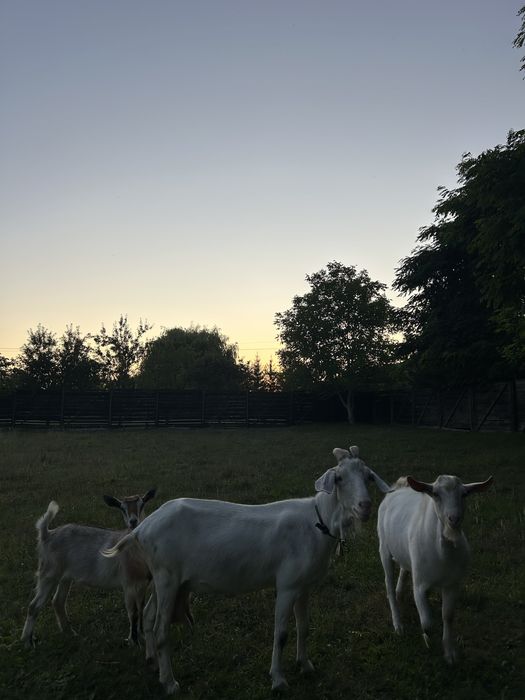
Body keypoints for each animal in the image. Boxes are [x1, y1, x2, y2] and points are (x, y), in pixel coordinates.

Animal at [21, 488, 156, 648]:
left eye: (142, 504)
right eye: (122, 508)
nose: (133, 521)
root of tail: (47, 534)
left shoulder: (142, 585)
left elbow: (141, 609)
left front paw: (142, 636)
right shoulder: (129, 584)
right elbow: (133, 612)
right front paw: (134, 642)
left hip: (65, 577)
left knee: (58, 601)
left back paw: (69, 632)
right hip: (48, 572)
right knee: (33, 606)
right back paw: (28, 641)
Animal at [103, 446, 391, 695]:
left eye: (368, 476)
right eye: (339, 478)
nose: (365, 506)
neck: (316, 523)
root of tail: (143, 527)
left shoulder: (304, 586)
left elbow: (304, 626)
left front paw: (306, 665)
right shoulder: (287, 584)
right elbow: (281, 633)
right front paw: (278, 680)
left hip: (163, 579)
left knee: (148, 616)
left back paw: (153, 663)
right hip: (167, 577)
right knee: (162, 629)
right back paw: (170, 683)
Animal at [377, 474, 493, 663]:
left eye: (464, 494)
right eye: (436, 494)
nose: (454, 518)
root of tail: (398, 487)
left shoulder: (453, 584)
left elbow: (448, 616)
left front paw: (450, 653)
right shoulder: (419, 585)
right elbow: (427, 623)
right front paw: (428, 641)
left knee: (404, 568)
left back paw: (400, 592)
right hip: (384, 549)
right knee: (388, 585)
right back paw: (398, 624)